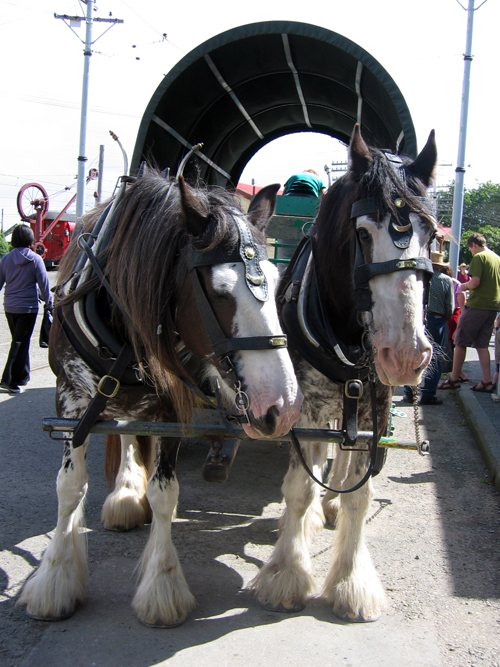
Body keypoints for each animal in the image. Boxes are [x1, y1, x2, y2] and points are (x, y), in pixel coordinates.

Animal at [18, 168, 300, 628]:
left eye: (276, 284)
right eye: (219, 292)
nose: (285, 406)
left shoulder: (171, 407)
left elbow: (166, 493)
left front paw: (162, 585)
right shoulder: (70, 402)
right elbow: (70, 486)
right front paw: (56, 577)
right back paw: (125, 493)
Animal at [252, 124, 436, 620]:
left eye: (432, 233)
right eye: (363, 232)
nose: (407, 356)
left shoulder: (376, 406)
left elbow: (360, 493)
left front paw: (351, 582)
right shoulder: (304, 408)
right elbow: (299, 487)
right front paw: (287, 572)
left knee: (346, 454)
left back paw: (330, 499)